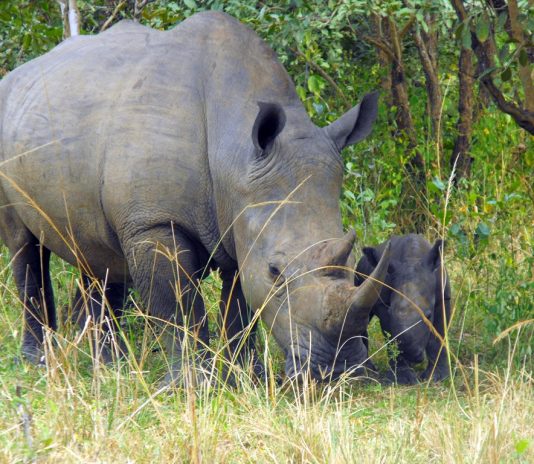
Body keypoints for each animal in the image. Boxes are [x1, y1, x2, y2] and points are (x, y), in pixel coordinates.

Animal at [0, 11, 391, 382]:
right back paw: (39, 361)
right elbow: (180, 307)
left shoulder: (239, 217)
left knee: (97, 252)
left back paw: (110, 367)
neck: (233, 153)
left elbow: (239, 307)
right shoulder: (153, 222)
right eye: (275, 272)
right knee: (25, 246)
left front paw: (246, 376)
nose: (340, 368)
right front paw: (191, 384)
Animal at [355, 234, 451, 384]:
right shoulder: (383, 305)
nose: (410, 354)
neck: (412, 259)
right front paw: (403, 379)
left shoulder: (443, 297)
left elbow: (439, 335)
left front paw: (437, 377)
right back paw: (368, 369)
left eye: (428, 315)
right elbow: (391, 335)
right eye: (390, 312)